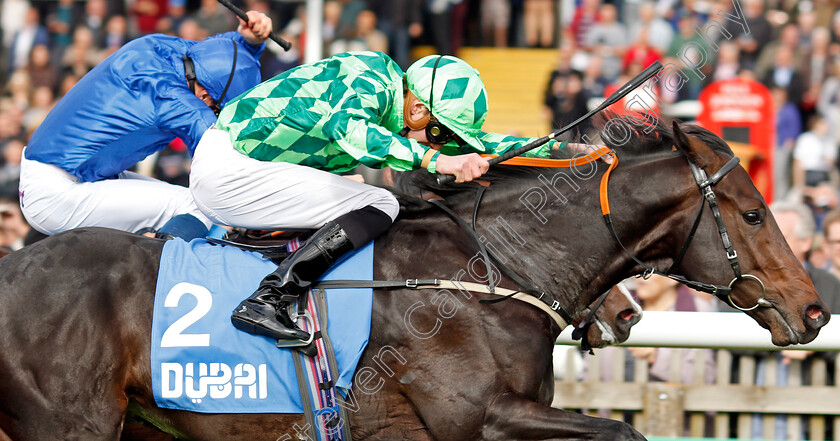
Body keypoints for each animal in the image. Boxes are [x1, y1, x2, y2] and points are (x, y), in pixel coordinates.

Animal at [0, 121, 828, 440]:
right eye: (754, 213)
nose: (815, 310)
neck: (488, 271)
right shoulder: (479, 416)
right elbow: (622, 426)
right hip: (71, 423)